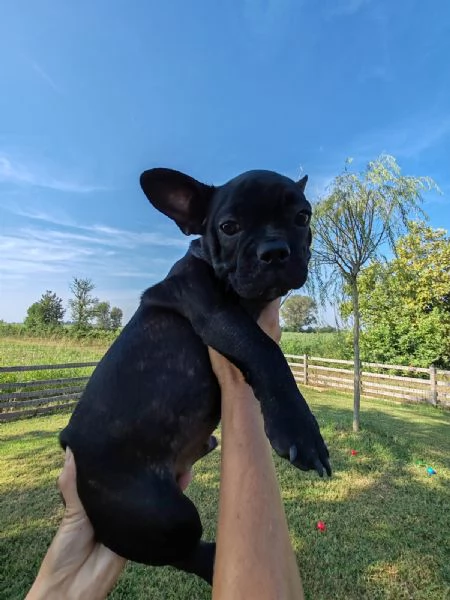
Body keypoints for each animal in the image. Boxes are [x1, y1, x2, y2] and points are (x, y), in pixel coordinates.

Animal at [59, 168, 330, 584]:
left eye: (302, 217)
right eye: (229, 227)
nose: (274, 250)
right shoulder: (217, 314)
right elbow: (266, 351)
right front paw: (299, 429)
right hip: (168, 516)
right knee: (180, 551)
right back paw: (211, 561)